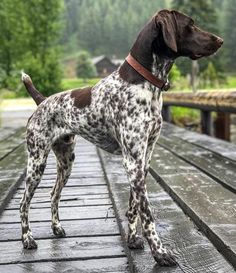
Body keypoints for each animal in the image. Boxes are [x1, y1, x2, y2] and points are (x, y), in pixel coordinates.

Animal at [20, 9, 223, 264]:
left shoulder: (143, 160)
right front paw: (159, 252)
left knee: (53, 194)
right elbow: (147, 213)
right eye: (191, 25)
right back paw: (27, 239)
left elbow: (134, 205)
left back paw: (56, 228)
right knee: (23, 203)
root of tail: (42, 101)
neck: (146, 85)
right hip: (36, 163)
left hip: (66, 162)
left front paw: (133, 239)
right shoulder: (132, 161)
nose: (220, 40)